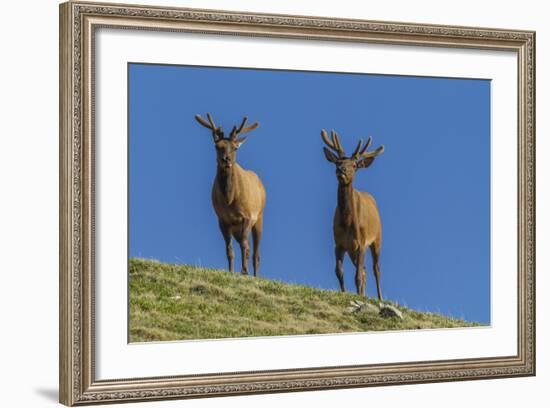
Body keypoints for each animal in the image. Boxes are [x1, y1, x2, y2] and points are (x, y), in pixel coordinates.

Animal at [196, 113, 268, 276]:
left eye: (235, 148)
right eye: (217, 147)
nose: (226, 159)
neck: (229, 200)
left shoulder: (247, 216)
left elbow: (244, 246)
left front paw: (244, 271)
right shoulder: (223, 220)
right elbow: (229, 250)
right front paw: (231, 271)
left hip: (259, 217)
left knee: (255, 252)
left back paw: (255, 275)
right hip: (237, 228)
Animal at [322, 129, 386, 302]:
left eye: (355, 165)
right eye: (337, 162)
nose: (341, 170)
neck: (348, 223)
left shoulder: (362, 242)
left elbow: (357, 276)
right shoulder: (339, 243)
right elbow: (339, 271)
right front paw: (344, 293)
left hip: (377, 238)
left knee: (375, 268)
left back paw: (380, 298)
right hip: (352, 251)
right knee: (364, 270)